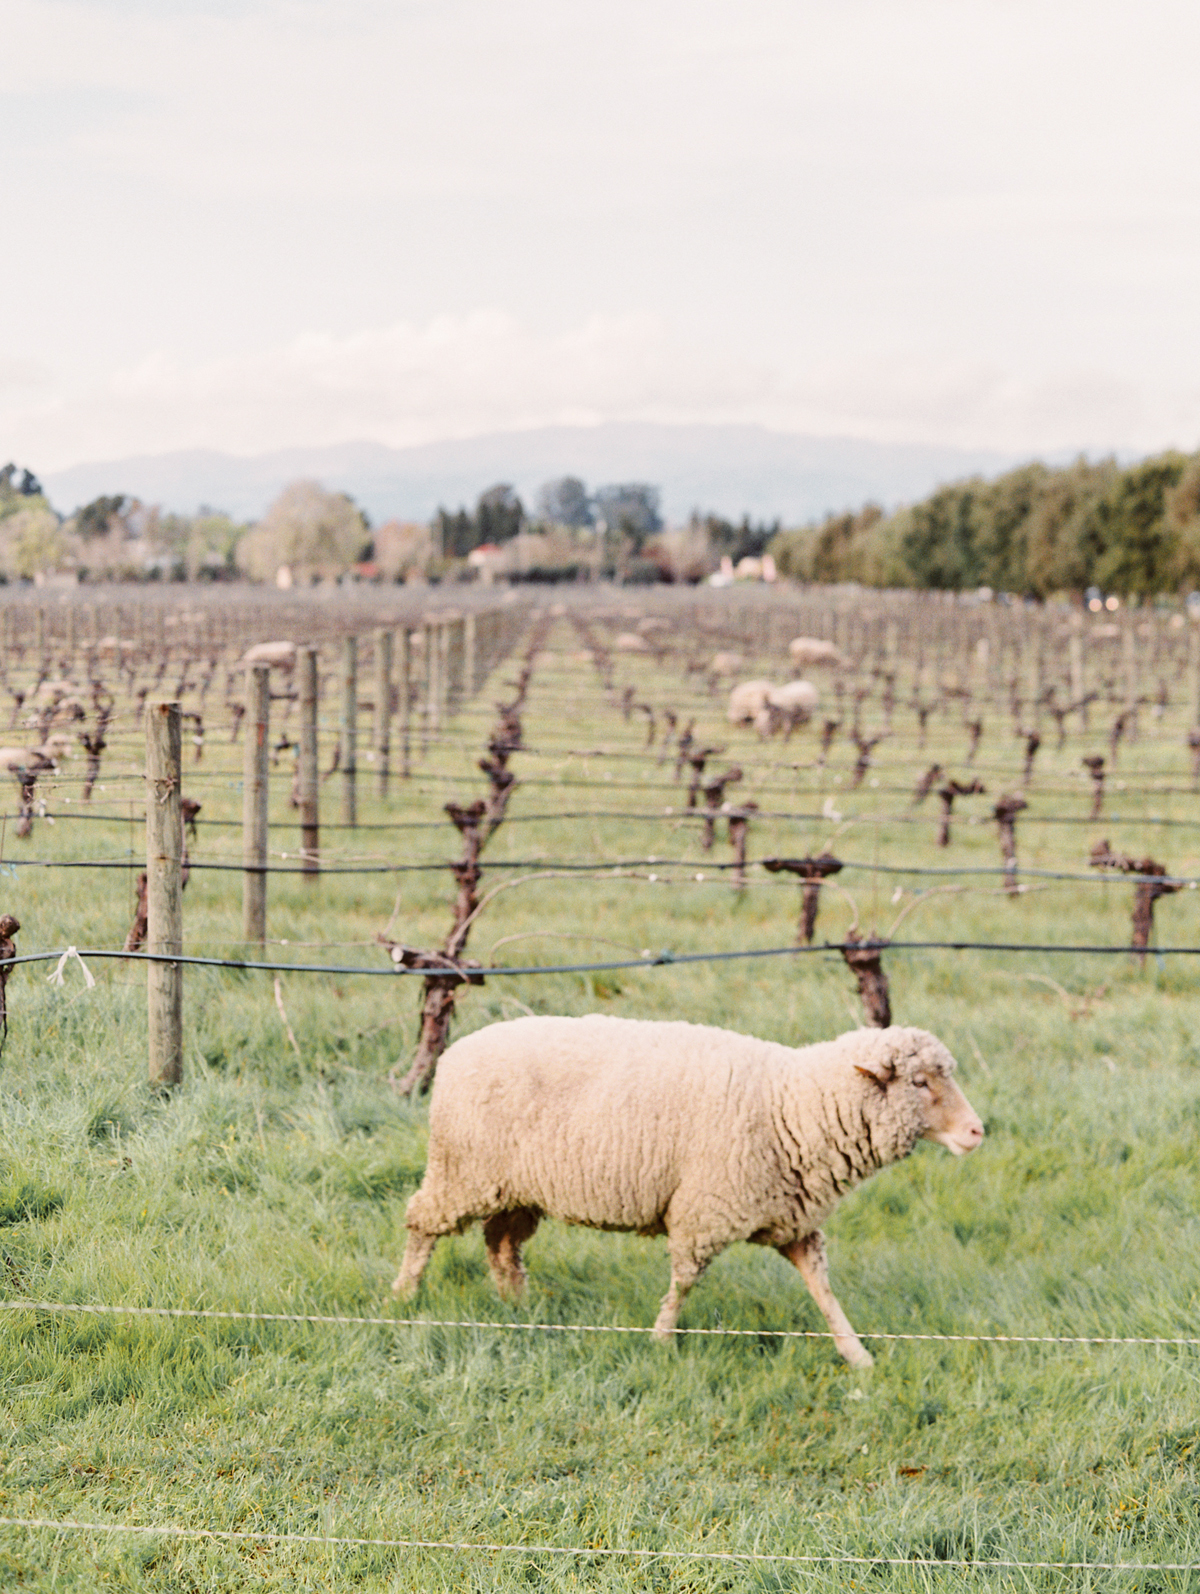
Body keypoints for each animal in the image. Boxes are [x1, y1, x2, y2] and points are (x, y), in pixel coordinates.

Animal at [393, 1020, 981, 1370]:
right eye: (920, 1083)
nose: (978, 1132)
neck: (794, 1103)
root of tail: (456, 1052)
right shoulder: (704, 1211)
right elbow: (683, 1282)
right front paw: (661, 1341)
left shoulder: (794, 1223)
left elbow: (823, 1289)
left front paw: (856, 1353)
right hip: (462, 1171)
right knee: (422, 1224)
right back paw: (403, 1294)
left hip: (516, 1188)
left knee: (501, 1244)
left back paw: (518, 1305)